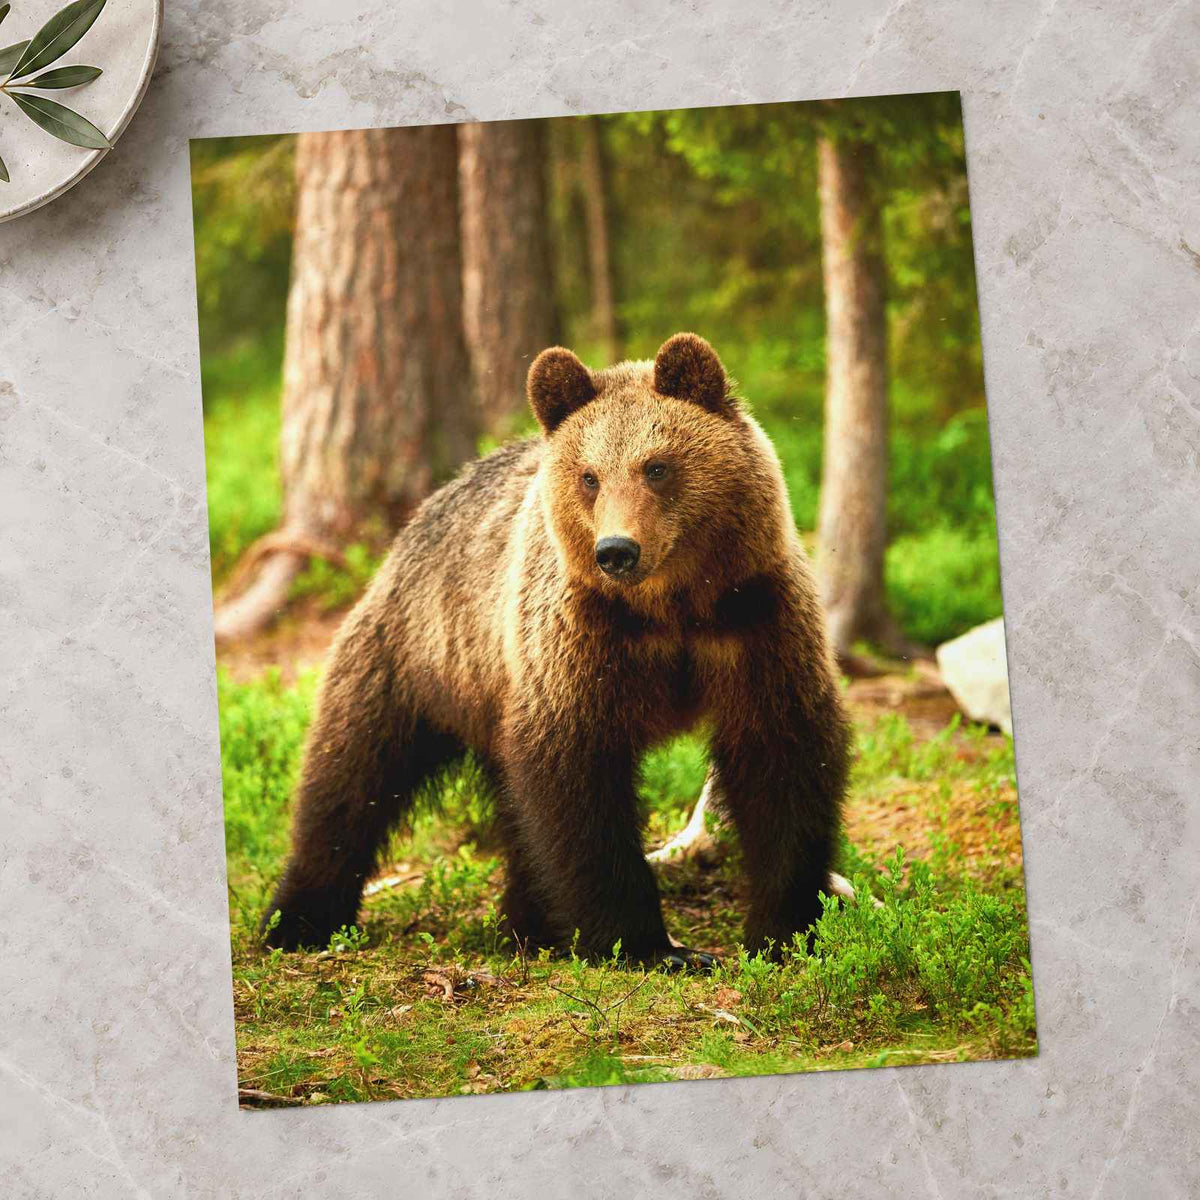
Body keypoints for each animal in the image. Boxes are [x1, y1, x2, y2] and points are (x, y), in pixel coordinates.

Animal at [263, 332, 850, 968]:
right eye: (590, 476)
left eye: (657, 466)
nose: (616, 550)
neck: (672, 608)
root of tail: (410, 526)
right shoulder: (578, 642)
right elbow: (575, 782)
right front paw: (645, 943)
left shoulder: (754, 622)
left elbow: (782, 758)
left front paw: (783, 929)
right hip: (417, 656)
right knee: (350, 778)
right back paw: (298, 919)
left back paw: (528, 923)